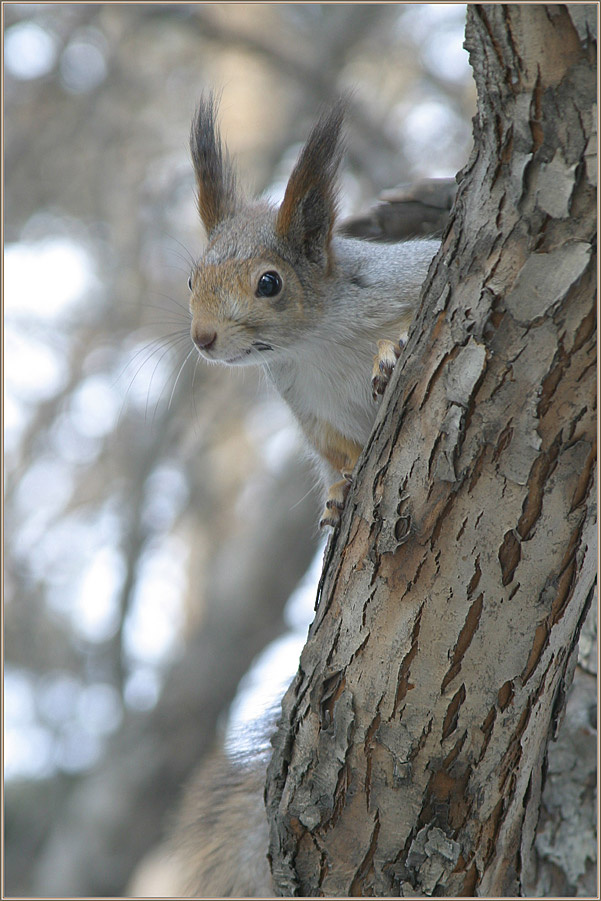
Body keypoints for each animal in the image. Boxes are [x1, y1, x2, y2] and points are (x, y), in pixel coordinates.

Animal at [187, 96, 441, 527]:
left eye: (269, 283)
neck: (317, 341)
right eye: (192, 281)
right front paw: (339, 491)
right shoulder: (308, 405)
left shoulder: (405, 275)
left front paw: (390, 350)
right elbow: (336, 448)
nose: (202, 337)